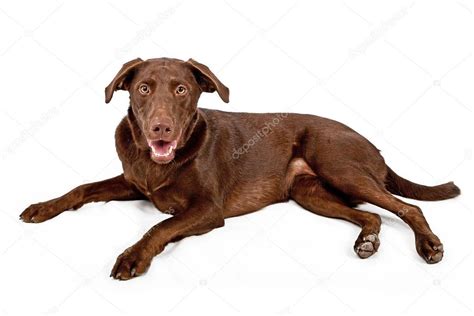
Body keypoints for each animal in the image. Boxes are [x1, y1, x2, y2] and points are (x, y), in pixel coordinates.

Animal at [20, 56, 462, 278]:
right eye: (144, 89)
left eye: (181, 89)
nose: (161, 128)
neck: (158, 162)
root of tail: (372, 143)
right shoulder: (134, 182)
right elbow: (82, 188)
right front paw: (42, 207)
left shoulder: (207, 209)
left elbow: (159, 226)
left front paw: (132, 257)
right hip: (309, 193)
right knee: (371, 216)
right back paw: (366, 240)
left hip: (339, 165)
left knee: (407, 207)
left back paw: (429, 246)